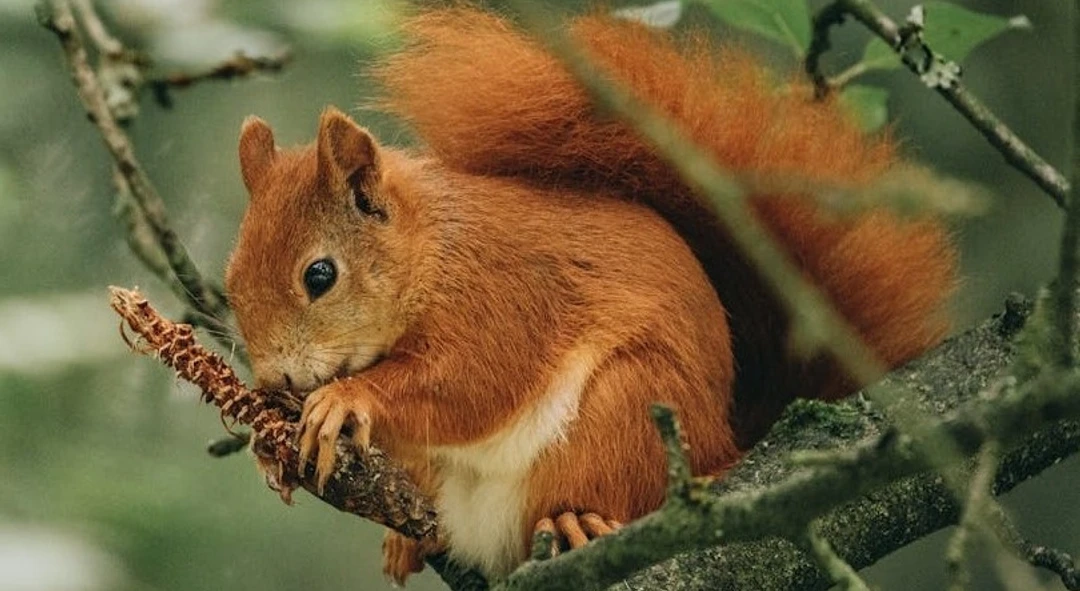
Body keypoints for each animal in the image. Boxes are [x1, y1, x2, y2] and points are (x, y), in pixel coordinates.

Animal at [224, 6, 956, 584]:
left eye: (320, 276)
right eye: (230, 281)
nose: (276, 377)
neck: (430, 253)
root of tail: (725, 442)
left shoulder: (504, 297)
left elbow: (472, 382)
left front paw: (346, 397)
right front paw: (269, 441)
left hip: (627, 410)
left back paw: (577, 518)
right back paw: (409, 537)